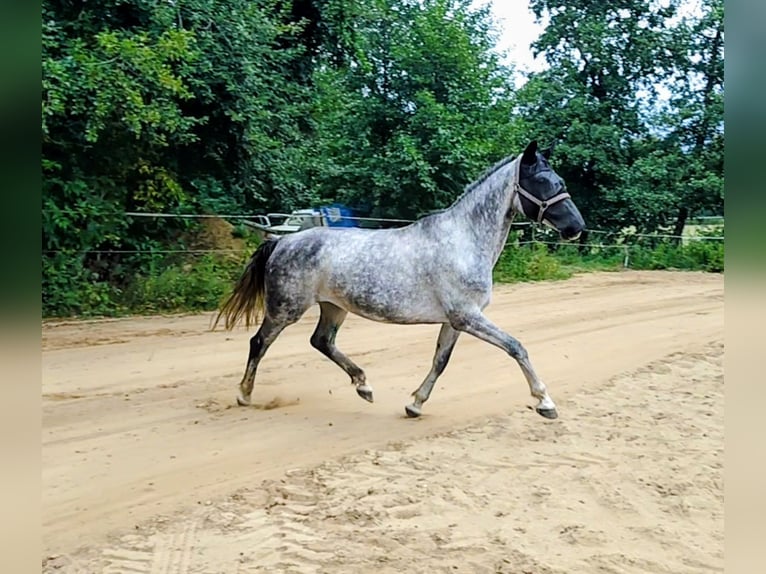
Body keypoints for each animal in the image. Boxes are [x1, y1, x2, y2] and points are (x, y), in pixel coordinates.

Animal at [213, 140, 585, 419]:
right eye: (543, 183)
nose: (577, 228)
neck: (463, 240)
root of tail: (282, 240)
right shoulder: (468, 317)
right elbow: (516, 347)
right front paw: (545, 402)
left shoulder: (456, 321)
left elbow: (440, 361)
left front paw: (415, 404)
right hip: (285, 309)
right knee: (259, 343)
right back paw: (245, 394)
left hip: (333, 307)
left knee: (321, 341)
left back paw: (364, 386)